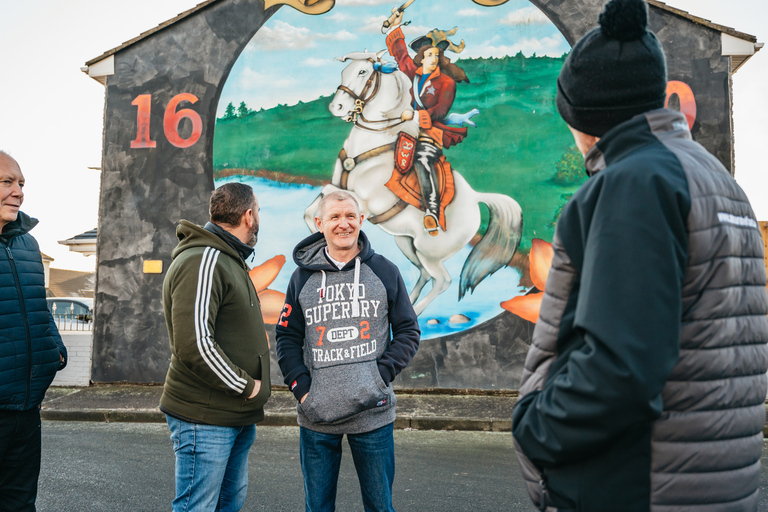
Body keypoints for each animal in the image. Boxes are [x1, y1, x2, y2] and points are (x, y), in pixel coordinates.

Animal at [304, 52, 524, 316]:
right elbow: (314, 208)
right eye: (344, 71)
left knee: (441, 280)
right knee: (423, 274)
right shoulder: (338, 188)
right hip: (407, 243)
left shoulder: (365, 203)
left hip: (430, 252)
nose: (336, 107)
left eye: (363, 72)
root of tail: (475, 197)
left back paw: (417, 312)